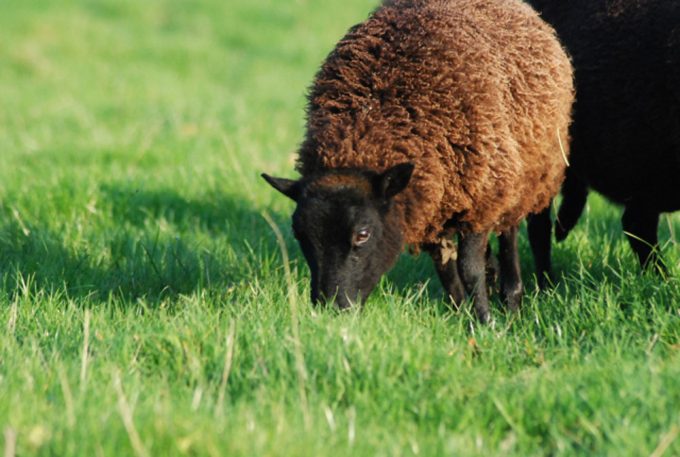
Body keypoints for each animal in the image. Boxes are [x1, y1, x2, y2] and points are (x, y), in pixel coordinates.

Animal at [260, 0, 572, 320]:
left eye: (363, 234)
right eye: (299, 233)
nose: (331, 308)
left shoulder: (480, 199)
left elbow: (469, 269)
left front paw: (486, 321)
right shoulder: (433, 208)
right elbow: (448, 272)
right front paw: (462, 315)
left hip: (523, 178)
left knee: (511, 234)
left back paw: (512, 298)